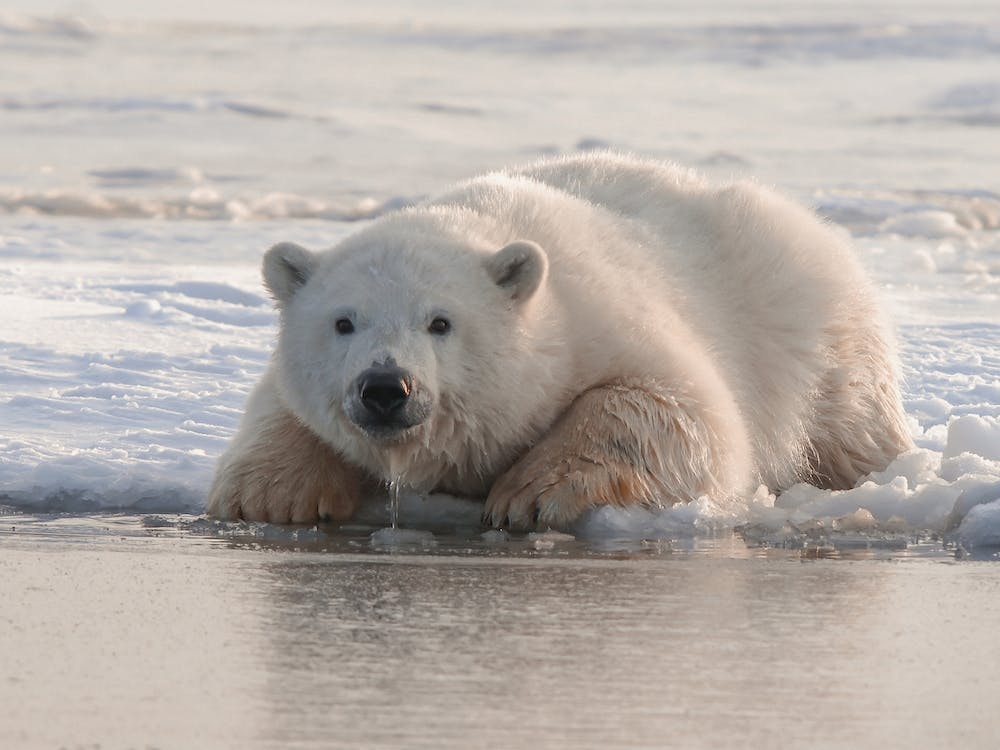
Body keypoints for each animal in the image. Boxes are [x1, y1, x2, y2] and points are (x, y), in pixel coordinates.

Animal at [206, 152, 913, 529]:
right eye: (343, 321)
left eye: (440, 321)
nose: (385, 388)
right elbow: (280, 406)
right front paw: (270, 496)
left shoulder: (604, 319)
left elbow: (682, 412)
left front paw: (528, 495)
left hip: (814, 332)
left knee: (850, 424)